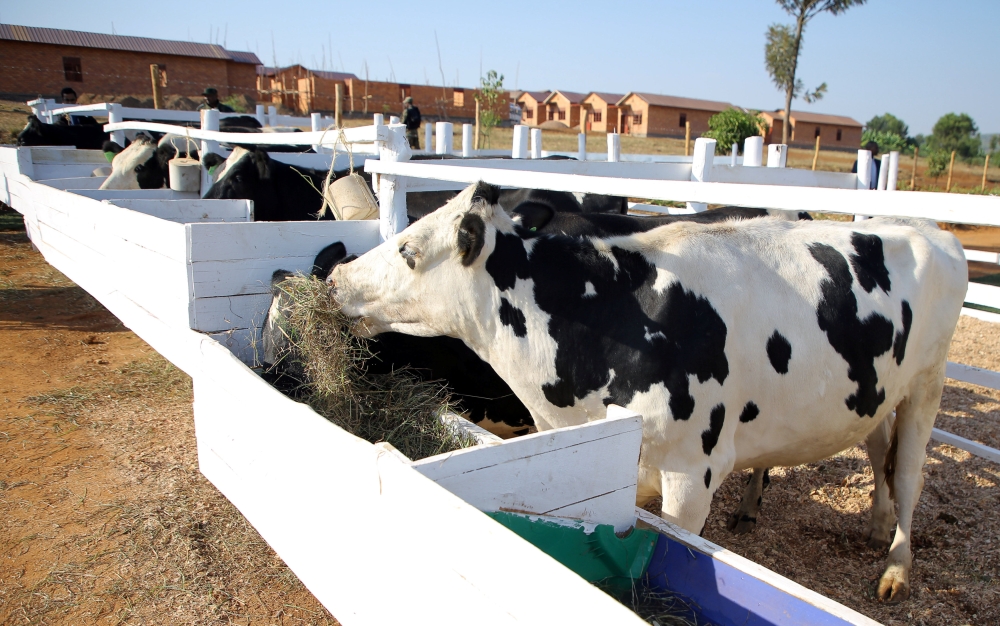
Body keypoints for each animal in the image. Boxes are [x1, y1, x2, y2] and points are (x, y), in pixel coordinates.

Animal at [329, 181, 967, 603]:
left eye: (408, 250)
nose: (334, 278)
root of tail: (926, 228)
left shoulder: (691, 474)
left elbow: (679, 545)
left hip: (928, 384)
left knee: (909, 474)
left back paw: (896, 565)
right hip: (879, 391)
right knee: (875, 446)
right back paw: (867, 521)